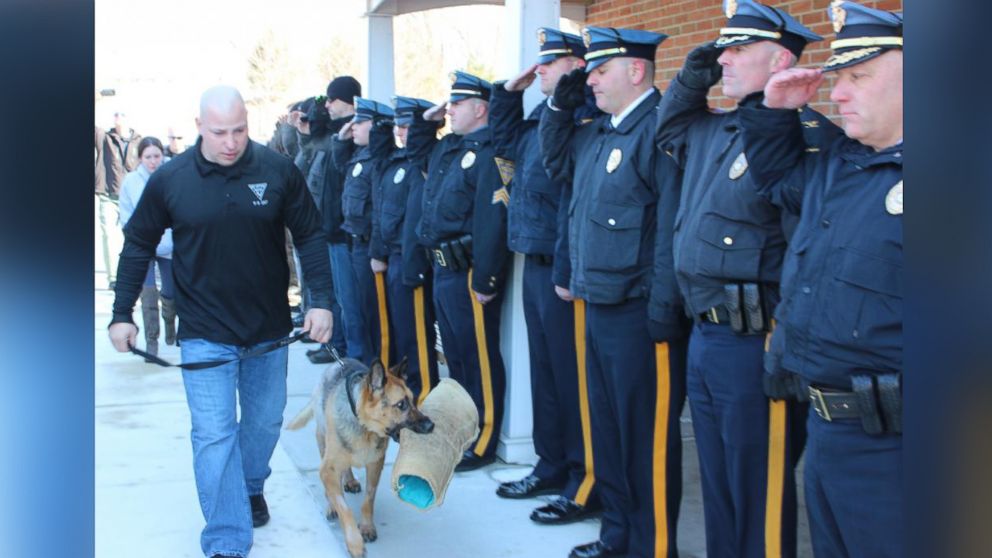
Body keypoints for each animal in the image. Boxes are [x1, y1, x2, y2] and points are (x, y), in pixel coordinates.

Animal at [282, 358, 430, 558]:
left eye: (413, 401)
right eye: (401, 405)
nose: (431, 425)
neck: (364, 427)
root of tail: (338, 362)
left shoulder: (375, 465)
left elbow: (368, 500)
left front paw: (366, 527)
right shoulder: (327, 469)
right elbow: (344, 507)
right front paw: (354, 543)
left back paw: (350, 480)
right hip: (323, 440)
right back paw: (332, 503)